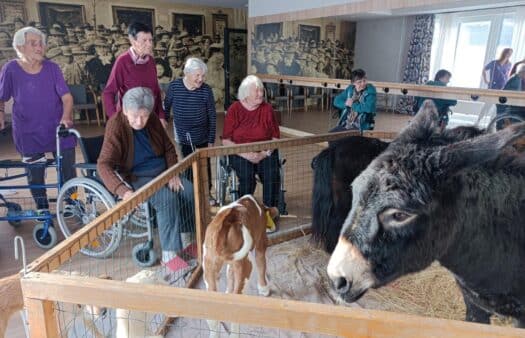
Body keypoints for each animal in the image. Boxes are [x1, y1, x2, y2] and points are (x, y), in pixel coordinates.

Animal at [202, 194, 278, 336]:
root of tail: (227, 219)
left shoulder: (232, 264)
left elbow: (229, 275)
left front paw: (227, 292)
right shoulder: (261, 243)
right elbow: (262, 264)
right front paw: (264, 289)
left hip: (209, 266)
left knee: (212, 314)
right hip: (246, 265)